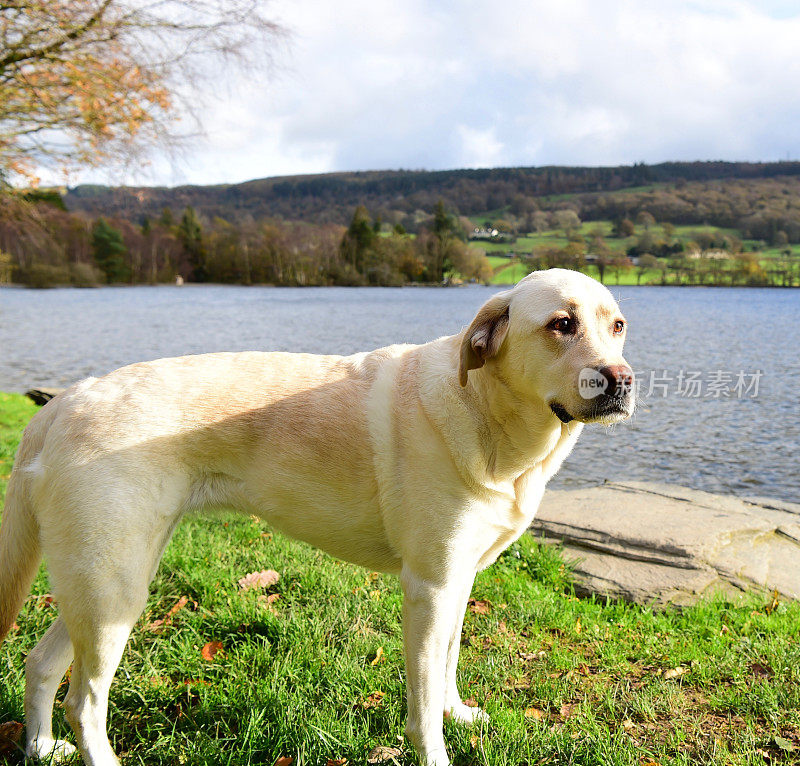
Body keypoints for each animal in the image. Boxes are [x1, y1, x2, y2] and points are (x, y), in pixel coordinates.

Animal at [0, 268, 636, 764]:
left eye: (618, 326)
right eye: (561, 324)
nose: (623, 381)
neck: (491, 416)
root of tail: (63, 401)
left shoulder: (460, 579)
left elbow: (450, 665)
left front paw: (459, 713)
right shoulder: (429, 586)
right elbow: (423, 705)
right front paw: (437, 746)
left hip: (102, 581)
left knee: (40, 664)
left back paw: (39, 748)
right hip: (115, 587)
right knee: (84, 701)